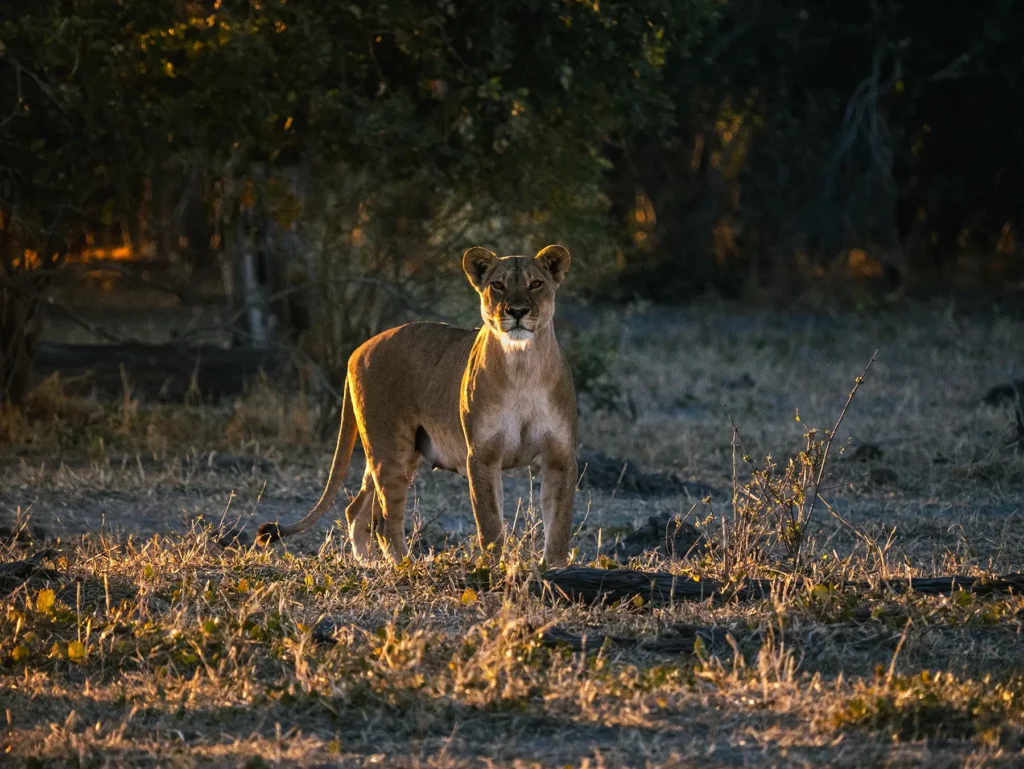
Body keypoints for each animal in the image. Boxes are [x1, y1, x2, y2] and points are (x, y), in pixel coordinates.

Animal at [256, 245, 578, 565]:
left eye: (536, 284)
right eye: (498, 285)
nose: (518, 311)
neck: (522, 365)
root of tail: (357, 350)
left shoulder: (559, 455)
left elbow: (560, 522)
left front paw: (555, 569)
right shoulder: (482, 455)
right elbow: (489, 522)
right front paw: (494, 567)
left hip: (400, 452)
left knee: (358, 510)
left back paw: (368, 564)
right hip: (390, 450)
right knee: (386, 522)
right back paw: (405, 566)